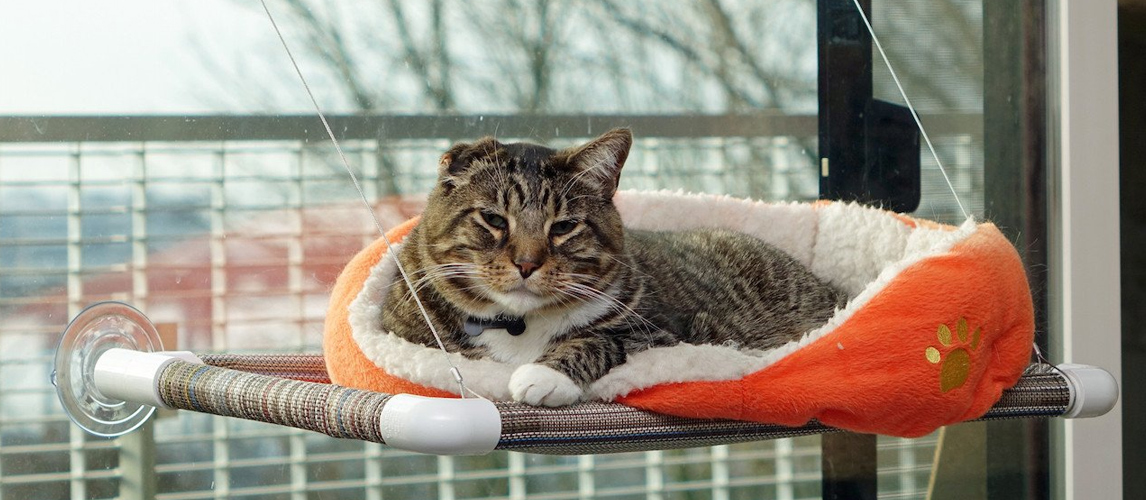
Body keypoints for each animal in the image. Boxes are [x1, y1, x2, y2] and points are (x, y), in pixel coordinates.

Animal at [380, 129, 848, 405]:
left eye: (563, 226)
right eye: (494, 219)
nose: (527, 263)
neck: (517, 323)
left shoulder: (662, 332)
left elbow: (597, 340)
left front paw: (543, 375)